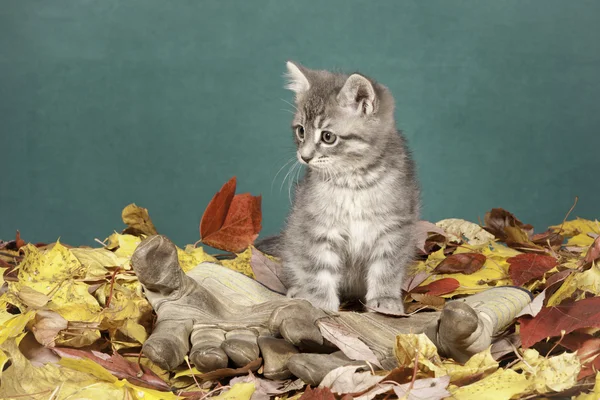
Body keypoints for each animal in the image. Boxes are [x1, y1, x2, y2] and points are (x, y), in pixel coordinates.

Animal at [270, 61, 420, 314]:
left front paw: (386, 299)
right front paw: (320, 304)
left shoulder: (395, 227)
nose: (304, 156)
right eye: (301, 131)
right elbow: (318, 269)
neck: (353, 183)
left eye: (328, 137)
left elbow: (387, 267)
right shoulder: (316, 227)